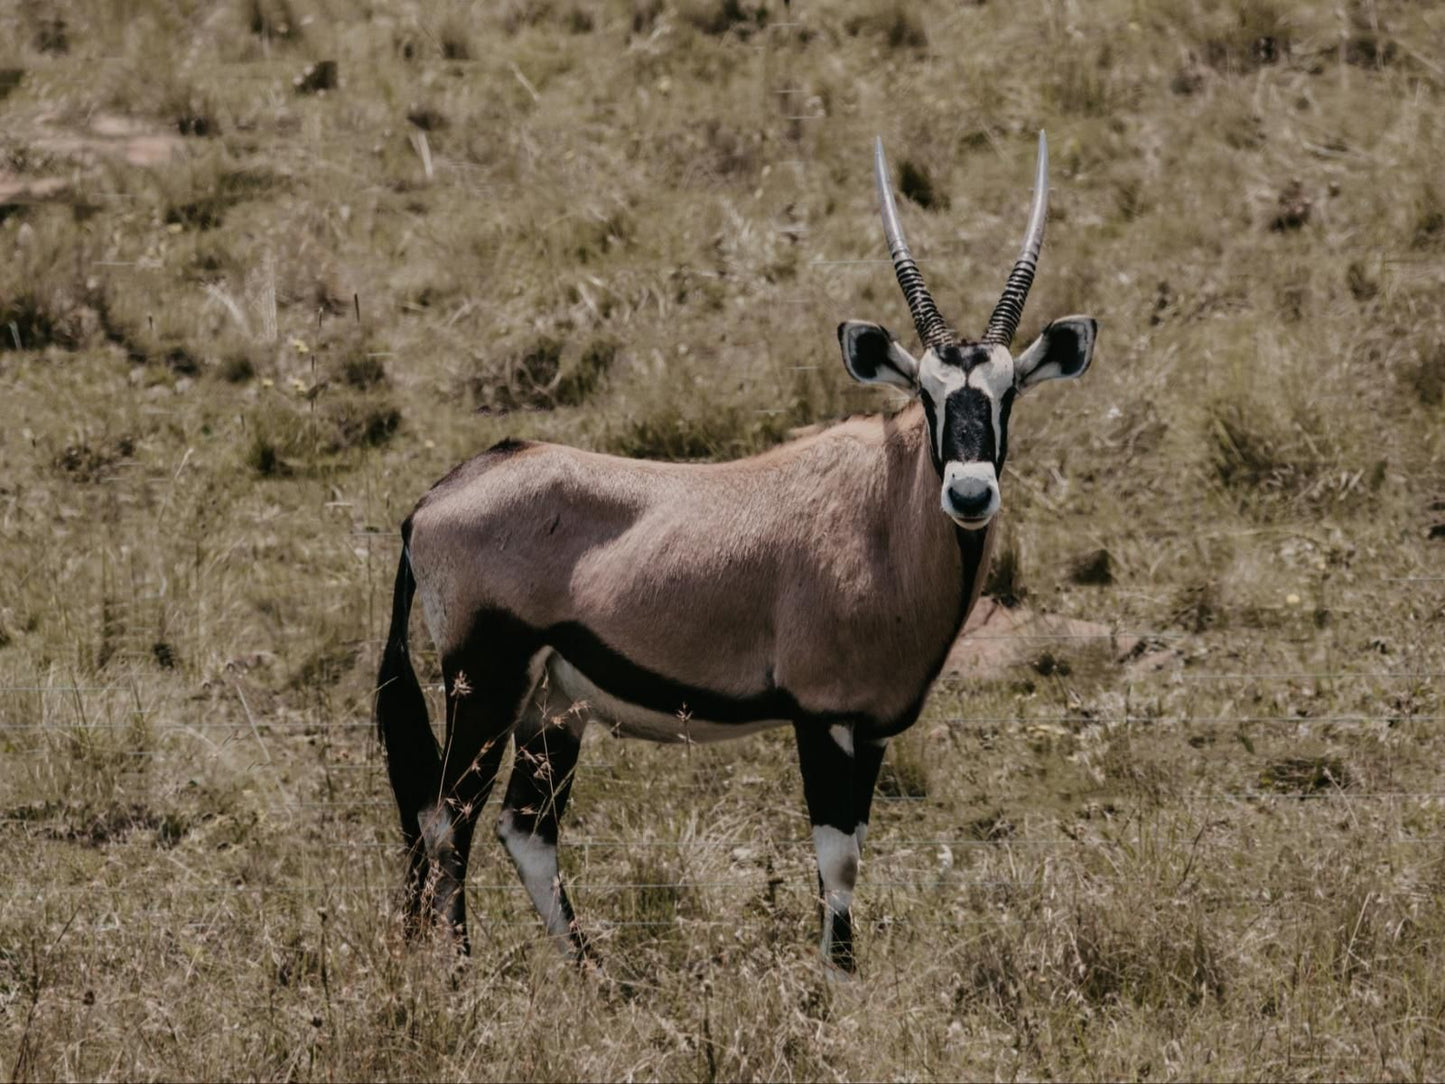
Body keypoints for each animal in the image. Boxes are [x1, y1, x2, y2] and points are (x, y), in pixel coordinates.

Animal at [372, 131, 1092, 971]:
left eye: (1008, 393)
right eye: (926, 393)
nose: (970, 494)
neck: (883, 514)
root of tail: (433, 500)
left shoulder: (873, 729)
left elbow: (852, 851)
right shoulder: (822, 718)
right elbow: (837, 858)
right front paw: (836, 983)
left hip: (551, 707)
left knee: (522, 829)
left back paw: (592, 976)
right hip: (485, 684)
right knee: (446, 817)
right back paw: (458, 971)